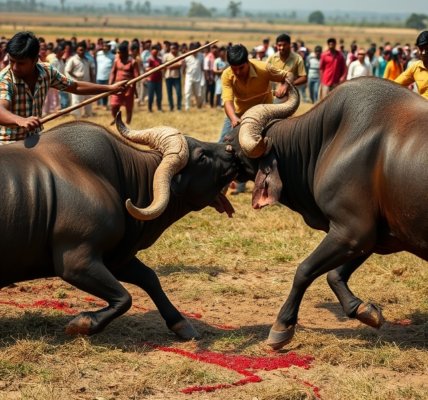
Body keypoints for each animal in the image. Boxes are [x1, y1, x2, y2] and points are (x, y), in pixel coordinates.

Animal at [0, 113, 237, 340]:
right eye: (202, 157)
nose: (231, 148)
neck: (118, 180)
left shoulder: (116, 257)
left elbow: (150, 278)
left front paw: (181, 324)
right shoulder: (76, 262)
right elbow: (125, 298)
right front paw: (83, 324)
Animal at [222, 77, 428, 350]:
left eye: (229, 144)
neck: (328, 142)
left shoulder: (352, 232)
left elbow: (304, 271)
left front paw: (282, 326)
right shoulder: (371, 236)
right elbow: (334, 275)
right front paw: (363, 310)